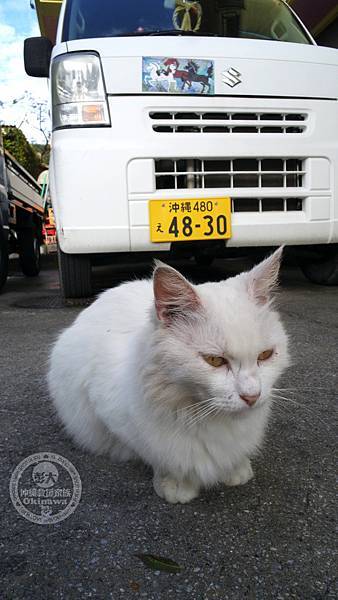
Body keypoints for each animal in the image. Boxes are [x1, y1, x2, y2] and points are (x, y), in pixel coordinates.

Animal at [48, 246, 290, 504]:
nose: (252, 396)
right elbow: (161, 457)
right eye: (214, 360)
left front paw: (236, 470)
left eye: (265, 355)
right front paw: (175, 484)